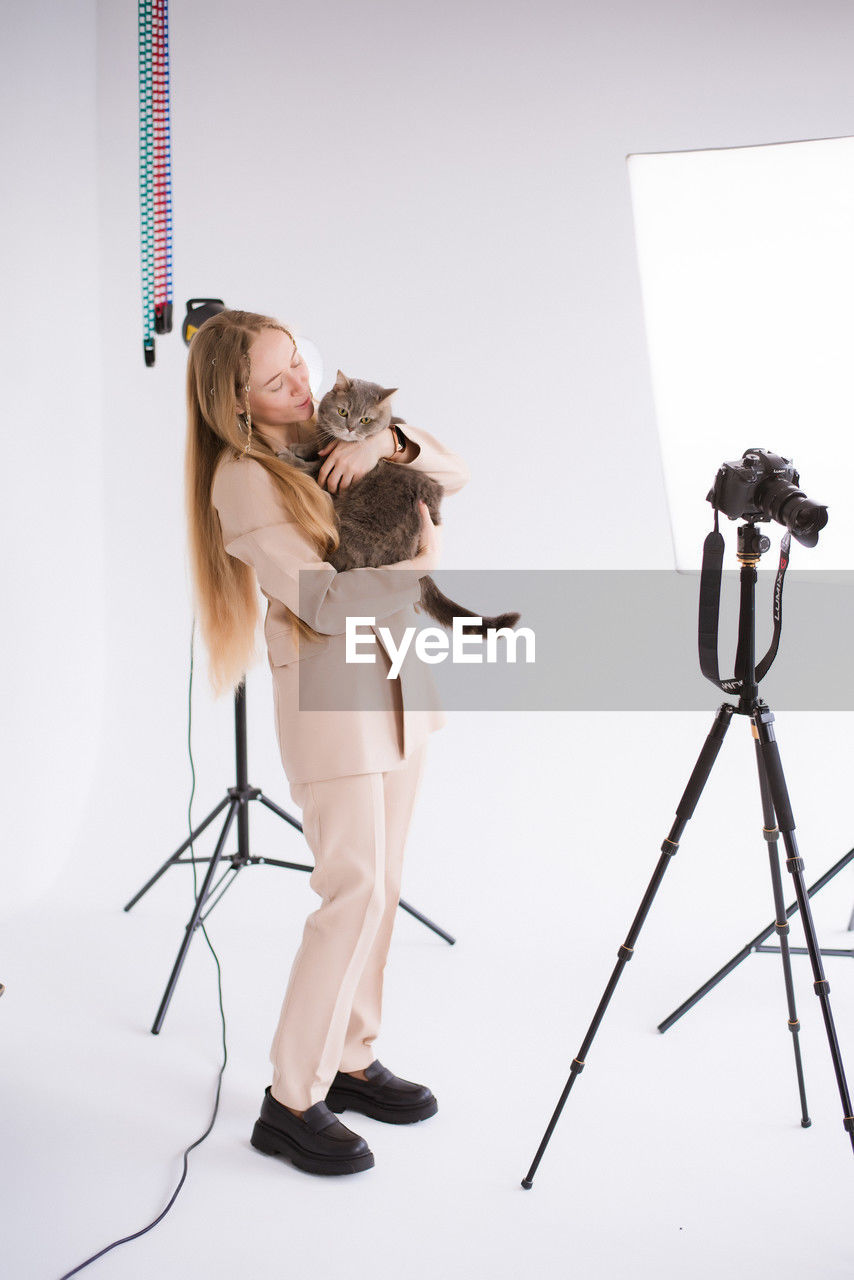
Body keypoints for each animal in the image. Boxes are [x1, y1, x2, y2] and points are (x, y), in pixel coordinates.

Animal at [281, 371, 522, 634]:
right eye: (343, 411)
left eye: (365, 419)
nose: (350, 428)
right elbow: (318, 443)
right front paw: (301, 446)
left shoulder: (333, 474)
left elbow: (313, 468)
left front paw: (292, 457)